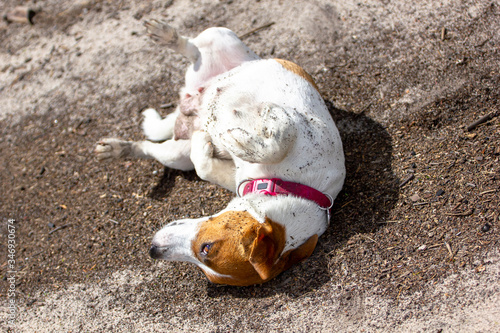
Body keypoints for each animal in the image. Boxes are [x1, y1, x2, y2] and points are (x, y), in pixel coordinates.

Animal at [94, 20, 344, 286]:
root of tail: (187, 101)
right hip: (223, 38)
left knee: (149, 148)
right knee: (193, 48)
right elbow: (277, 140)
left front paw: (211, 143)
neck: (292, 184)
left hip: (177, 155)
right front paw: (254, 130)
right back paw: (167, 36)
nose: (153, 250)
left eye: (205, 251)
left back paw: (117, 149)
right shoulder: (302, 124)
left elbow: (204, 166)